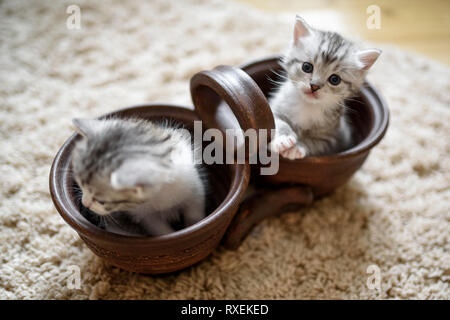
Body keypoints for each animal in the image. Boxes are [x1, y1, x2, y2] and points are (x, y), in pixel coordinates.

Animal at [70, 117, 206, 235]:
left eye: (101, 201)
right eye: (81, 185)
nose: (84, 203)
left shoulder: (194, 190)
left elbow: (194, 213)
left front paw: (192, 226)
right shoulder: (145, 216)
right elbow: (160, 229)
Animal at [268, 16, 382, 159]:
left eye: (334, 79)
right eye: (307, 67)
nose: (314, 86)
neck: (308, 106)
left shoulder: (331, 139)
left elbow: (314, 143)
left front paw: (297, 147)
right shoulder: (274, 107)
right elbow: (276, 121)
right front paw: (283, 138)